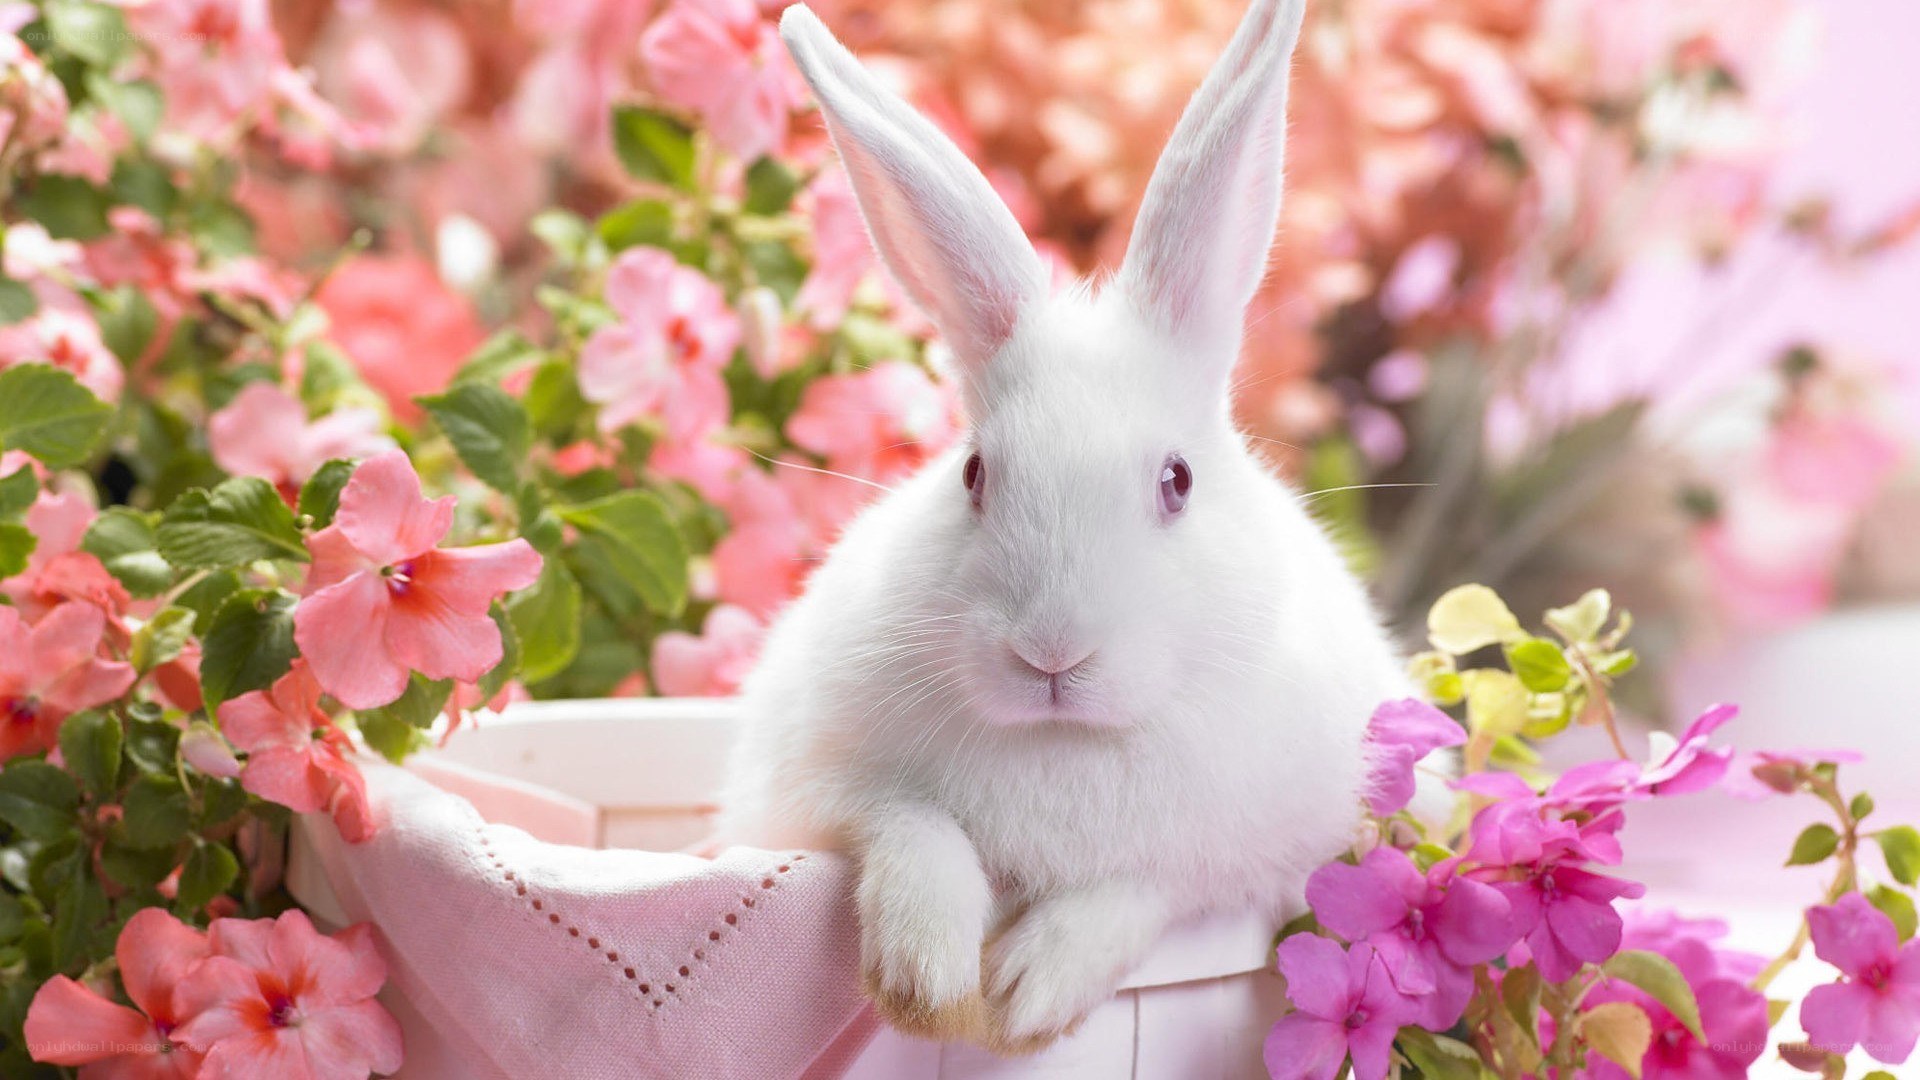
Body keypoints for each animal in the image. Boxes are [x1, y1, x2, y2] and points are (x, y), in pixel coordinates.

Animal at [719, 0, 1418, 1053]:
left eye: (1176, 481)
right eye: (974, 474)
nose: (1052, 653)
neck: (1065, 741)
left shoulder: (1262, 851)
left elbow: (1142, 886)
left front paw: (1025, 991)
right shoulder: (812, 788)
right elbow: (910, 826)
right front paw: (927, 980)